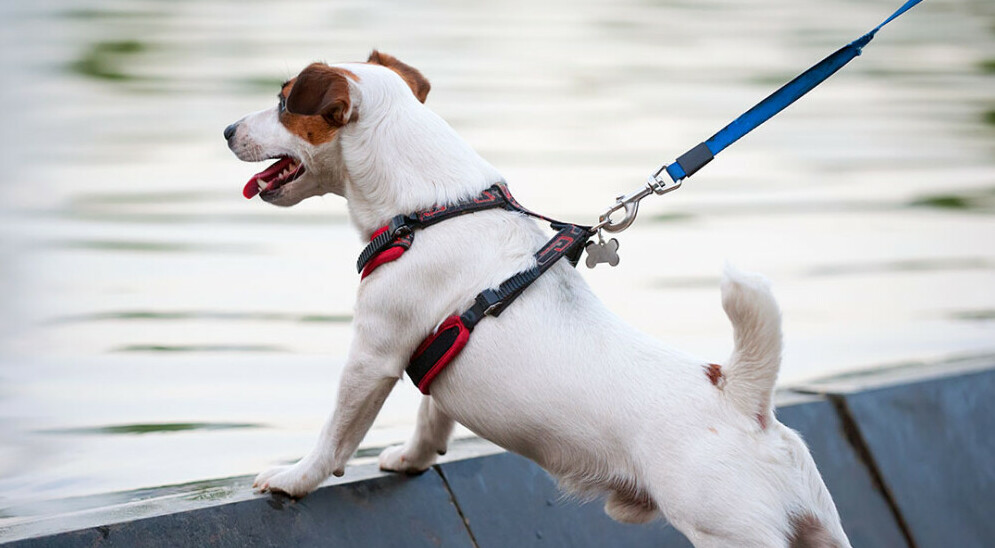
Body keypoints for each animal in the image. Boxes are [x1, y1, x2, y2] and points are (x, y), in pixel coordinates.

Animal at [224, 52, 848, 548]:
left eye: (283, 101)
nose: (227, 129)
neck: (434, 209)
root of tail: (745, 402)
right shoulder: (435, 357)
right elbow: (432, 418)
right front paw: (412, 458)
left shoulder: (372, 356)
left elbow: (337, 433)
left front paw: (294, 478)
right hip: (820, 531)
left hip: (730, 533)